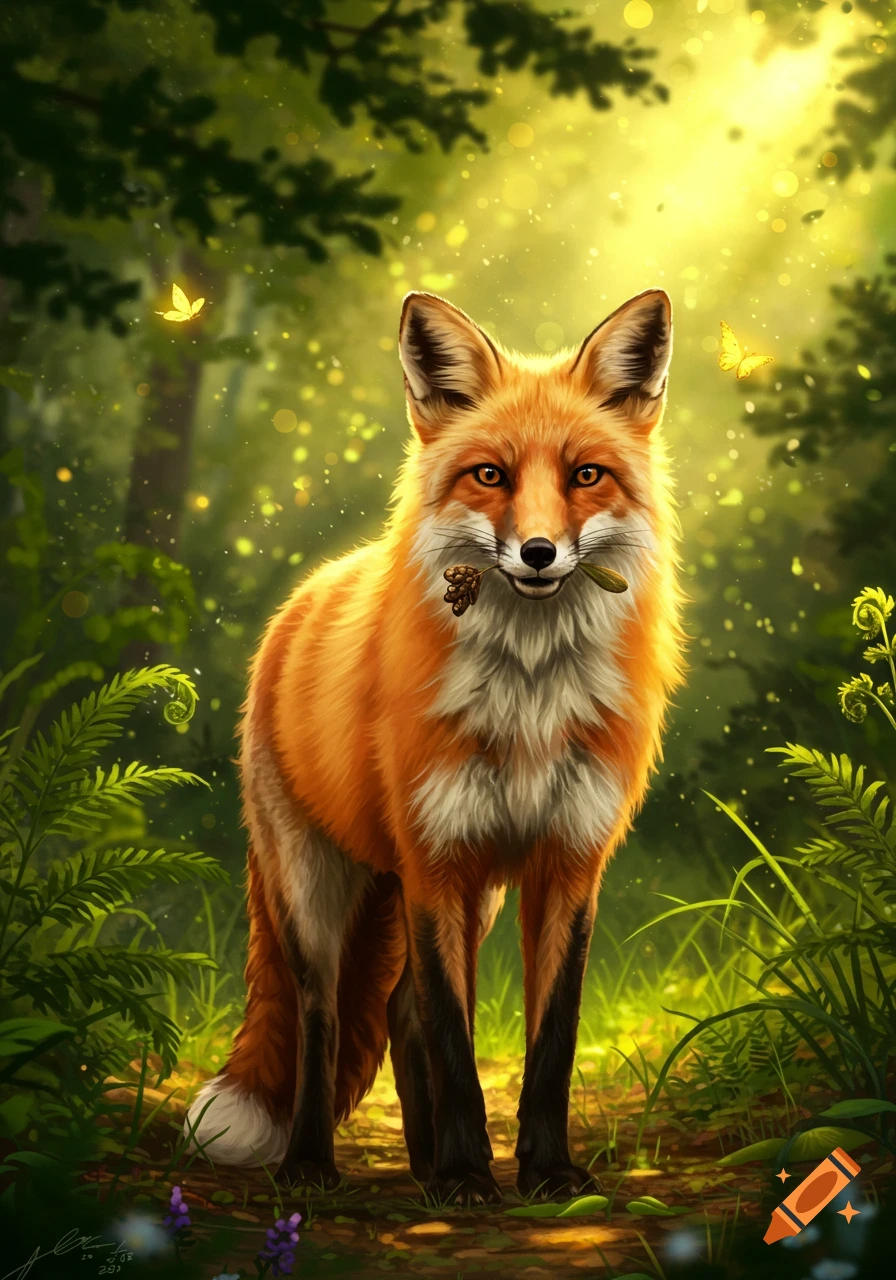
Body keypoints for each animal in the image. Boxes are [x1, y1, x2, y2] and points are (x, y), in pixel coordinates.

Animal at [185, 287, 687, 1205]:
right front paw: (463, 1177)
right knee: (323, 1018)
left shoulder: (567, 864)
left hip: (469, 896)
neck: (528, 701)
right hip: (317, 890)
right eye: (490, 475)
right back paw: (313, 1164)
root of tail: (303, 599)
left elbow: (550, 1040)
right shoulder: (434, 859)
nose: (538, 553)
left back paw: (419, 1165)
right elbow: (456, 1039)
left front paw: (544, 1171)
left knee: (399, 1009)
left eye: (585, 475)